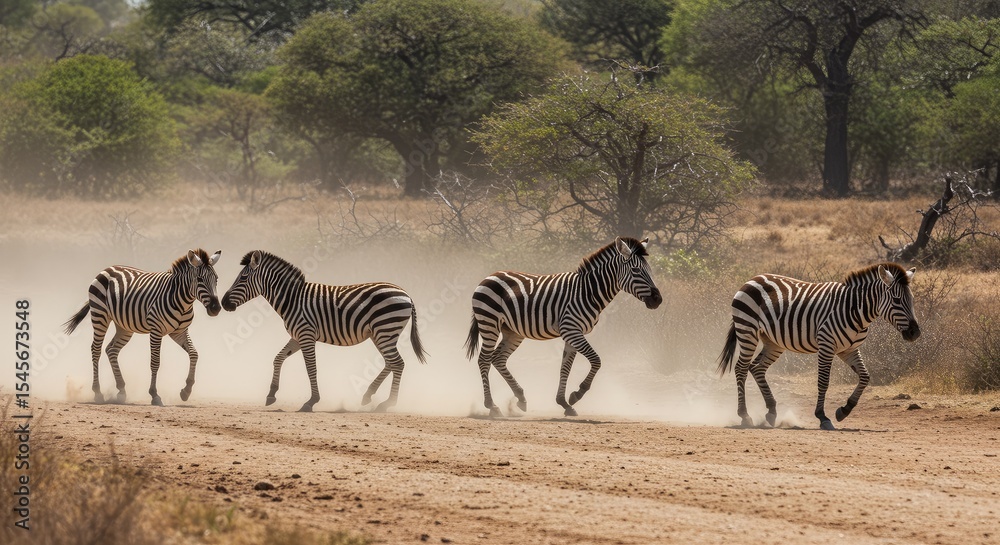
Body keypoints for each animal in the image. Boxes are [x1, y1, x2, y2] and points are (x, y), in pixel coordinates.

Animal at [63, 249, 223, 406]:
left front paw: (186, 391)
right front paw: (154, 395)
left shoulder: (179, 331)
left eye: (216, 279)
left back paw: (121, 390)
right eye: (200, 279)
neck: (182, 301)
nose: (216, 308)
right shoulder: (156, 330)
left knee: (111, 349)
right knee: (96, 349)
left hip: (124, 326)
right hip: (100, 314)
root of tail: (107, 268)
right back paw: (98, 393)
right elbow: (155, 362)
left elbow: (194, 354)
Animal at [221, 250, 427, 412]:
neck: (292, 299)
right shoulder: (297, 336)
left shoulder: (306, 334)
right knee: (390, 362)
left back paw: (387, 404)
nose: (223, 303)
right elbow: (278, 358)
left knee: (397, 363)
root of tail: (406, 294)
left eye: (243, 278)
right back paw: (368, 395)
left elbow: (311, 368)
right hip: (380, 333)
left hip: (385, 329)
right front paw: (271, 394)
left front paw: (311, 402)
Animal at [465, 237, 662, 417]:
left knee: (498, 359)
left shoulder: (572, 333)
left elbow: (565, 368)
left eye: (650, 270)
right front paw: (577, 394)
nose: (658, 300)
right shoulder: (571, 330)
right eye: (636, 270)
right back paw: (492, 406)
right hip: (489, 322)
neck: (587, 291)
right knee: (484, 360)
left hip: (512, 331)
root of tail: (489, 276)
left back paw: (520, 398)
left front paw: (564, 403)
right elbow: (596, 360)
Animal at [717, 263, 921, 430]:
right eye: (896, 300)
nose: (915, 333)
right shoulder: (826, 345)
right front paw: (823, 417)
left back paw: (771, 411)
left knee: (756, 368)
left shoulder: (849, 349)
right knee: (741, 368)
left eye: (912, 299)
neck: (855, 310)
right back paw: (745, 416)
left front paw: (844, 410)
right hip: (747, 330)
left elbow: (865, 376)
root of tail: (752, 279)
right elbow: (823, 382)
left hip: (773, 342)